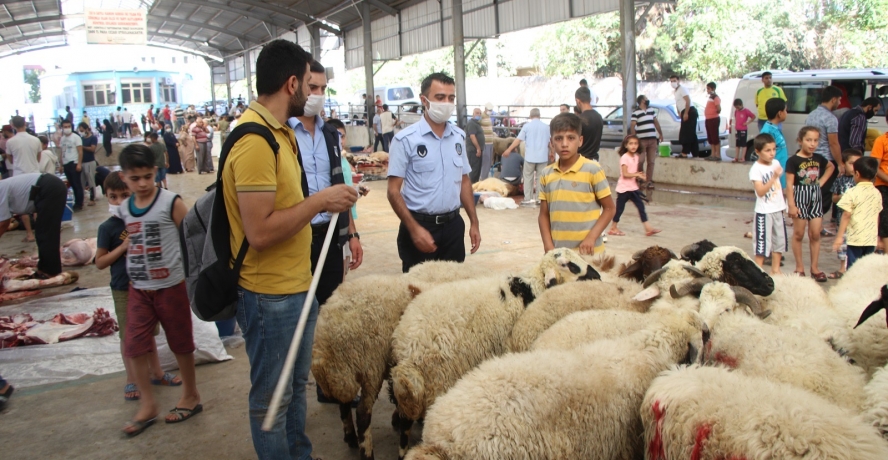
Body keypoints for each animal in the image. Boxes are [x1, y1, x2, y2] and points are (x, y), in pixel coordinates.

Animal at [392, 248, 600, 456]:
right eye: (567, 265)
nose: (597, 276)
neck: (531, 288)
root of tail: (408, 350)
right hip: (439, 378)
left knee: (404, 423)